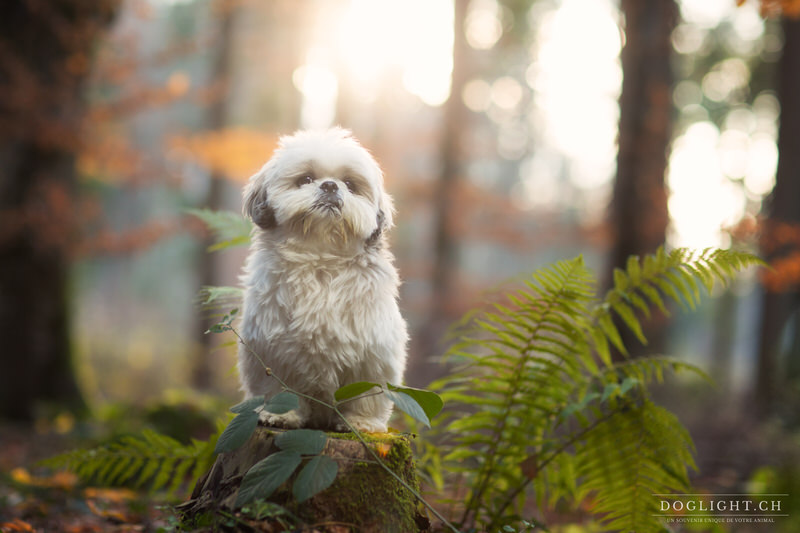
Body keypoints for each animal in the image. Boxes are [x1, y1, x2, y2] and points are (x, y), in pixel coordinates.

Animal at [236, 128, 406, 432]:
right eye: (305, 179)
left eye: (349, 184)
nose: (329, 186)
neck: (322, 260)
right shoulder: (275, 350)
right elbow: (280, 388)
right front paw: (282, 415)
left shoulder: (374, 352)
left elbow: (368, 393)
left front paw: (361, 422)